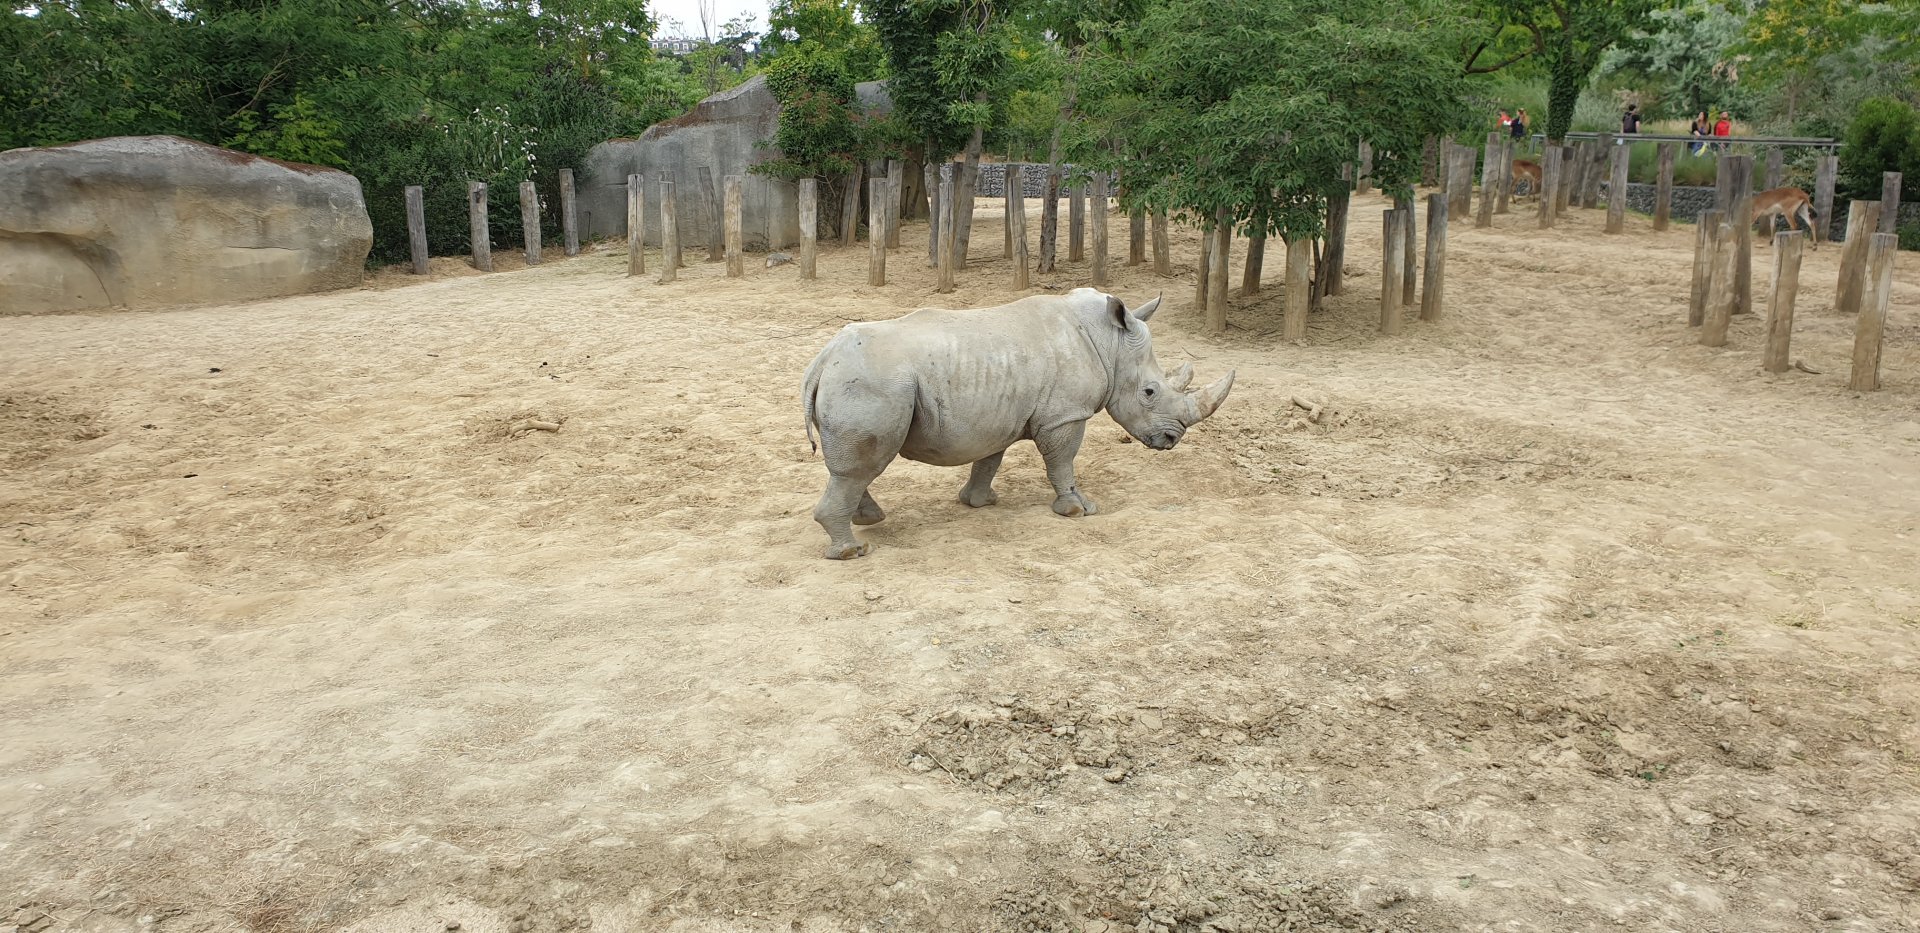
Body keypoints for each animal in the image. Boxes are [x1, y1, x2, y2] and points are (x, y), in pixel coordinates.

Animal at [800, 288, 1235, 559]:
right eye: (1149, 392)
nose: (1171, 439)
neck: (1109, 344)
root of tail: (822, 360)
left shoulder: (998, 413)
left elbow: (989, 460)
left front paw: (980, 502)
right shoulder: (1065, 415)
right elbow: (1062, 462)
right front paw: (1078, 510)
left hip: (865, 381)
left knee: (857, 468)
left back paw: (868, 520)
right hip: (872, 382)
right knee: (860, 467)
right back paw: (853, 551)